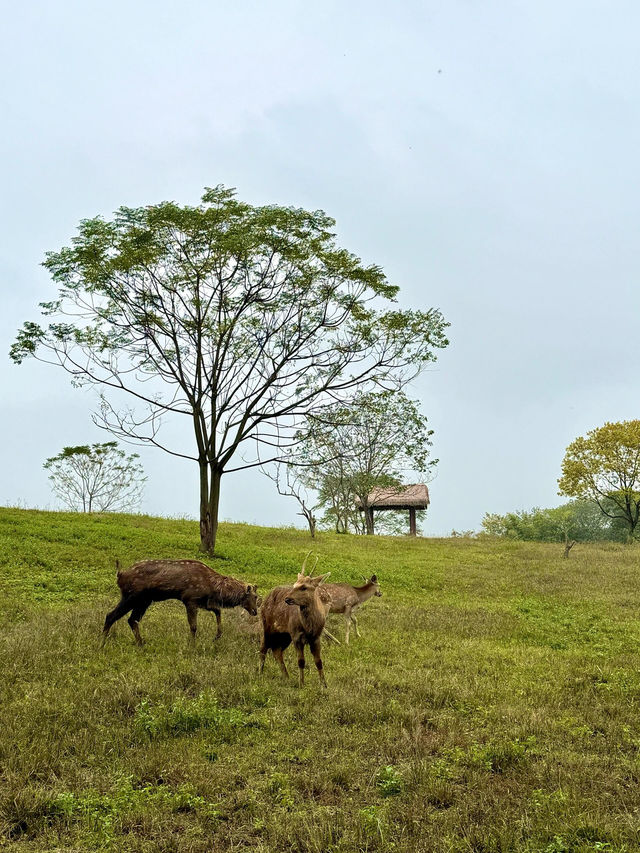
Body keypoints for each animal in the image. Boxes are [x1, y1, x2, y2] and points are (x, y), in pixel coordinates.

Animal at [101, 560, 258, 644]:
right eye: (256, 597)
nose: (255, 611)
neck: (213, 587)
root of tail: (119, 574)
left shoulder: (203, 601)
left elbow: (217, 611)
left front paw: (217, 636)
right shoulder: (190, 598)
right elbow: (193, 626)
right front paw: (192, 645)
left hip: (144, 600)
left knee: (132, 620)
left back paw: (140, 643)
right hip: (132, 596)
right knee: (111, 615)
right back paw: (102, 643)